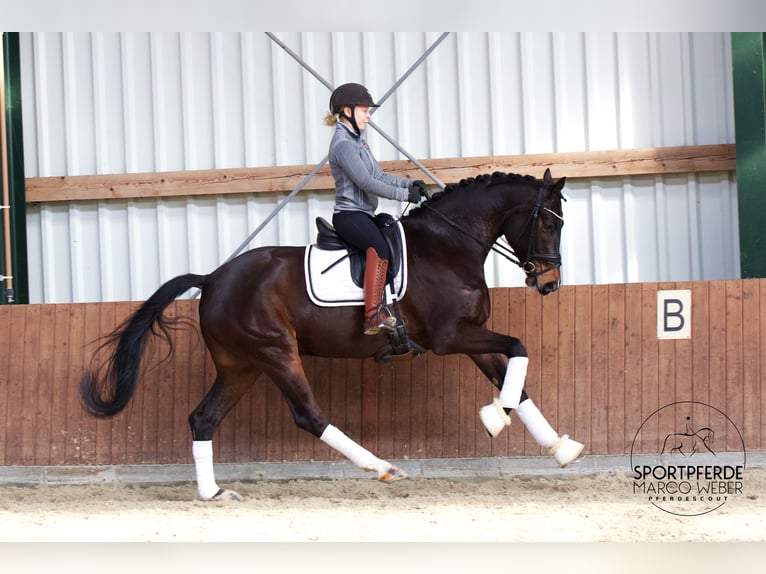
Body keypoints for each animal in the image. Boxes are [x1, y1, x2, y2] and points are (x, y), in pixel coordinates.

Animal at [79, 169, 584, 502]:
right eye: (549, 223)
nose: (549, 283)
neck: (449, 245)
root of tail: (213, 278)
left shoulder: (471, 334)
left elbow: (515, 380)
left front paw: (561, 448)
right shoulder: (452, 336)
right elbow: (518, 349)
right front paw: (494, 418)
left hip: (242, 365)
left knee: (203, 419)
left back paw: (214, 493)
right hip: (276, 352)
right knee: (309, 415)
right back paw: (381, 467)